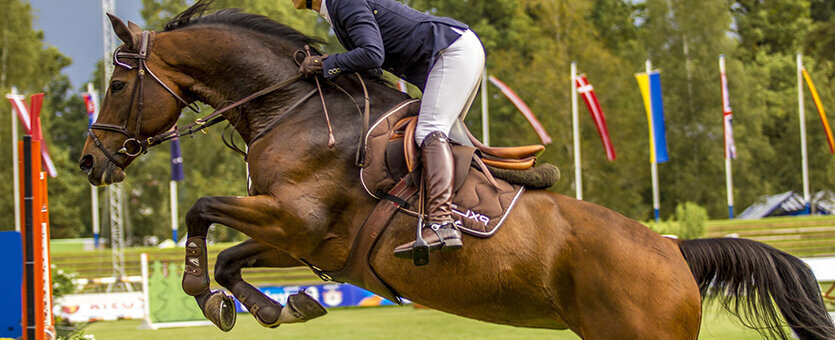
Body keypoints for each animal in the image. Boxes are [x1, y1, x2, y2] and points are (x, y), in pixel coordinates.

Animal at [80, 1, 835, 338]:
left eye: (116, 85)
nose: (88, 161)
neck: (288, 106)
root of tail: (677, 252)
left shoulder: (297, 221)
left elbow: (199, 209)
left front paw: (201, 291)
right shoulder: (303, 237)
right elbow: (233, 253)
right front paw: (269, 305)